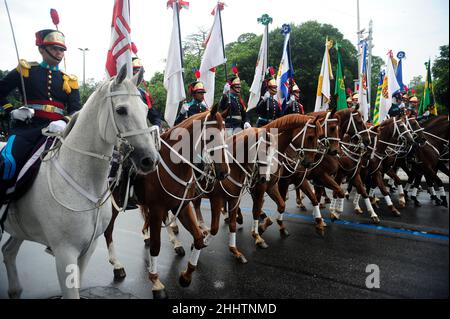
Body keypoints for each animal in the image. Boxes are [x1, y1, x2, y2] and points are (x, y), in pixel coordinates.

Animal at [0, 65, 160, 300]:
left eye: (145, 109)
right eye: (121, 110)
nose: (150, 160)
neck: (85, 182)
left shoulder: (88, 250)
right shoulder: (64, 253)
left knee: (9, 252)